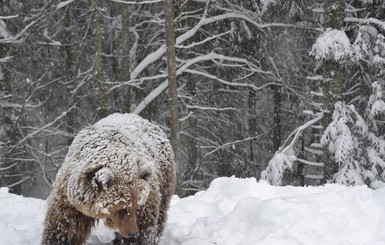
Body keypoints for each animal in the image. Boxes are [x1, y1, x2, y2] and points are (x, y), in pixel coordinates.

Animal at [41, 114, 176, 245]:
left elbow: (146, 227)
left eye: (137, 206)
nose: (133, 233)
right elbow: (65, 228)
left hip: (165, 178)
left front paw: (134, 240)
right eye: (121, 209)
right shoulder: (69, 197)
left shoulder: (147, 200)